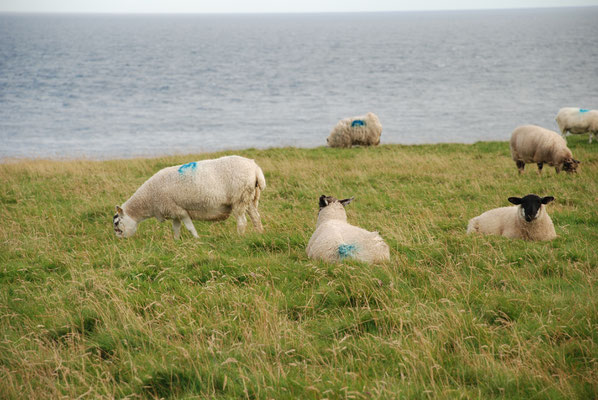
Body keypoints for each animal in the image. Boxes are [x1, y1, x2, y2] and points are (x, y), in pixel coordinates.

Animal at [113, 155, 268, 239]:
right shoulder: (174, 212)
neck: (148, 199)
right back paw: (260, 233)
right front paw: (176, 241)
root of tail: (255, 168)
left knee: (242, 221)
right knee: (256, 217)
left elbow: (190, 227)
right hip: (251, 198)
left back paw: (239, 236)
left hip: (239, 198)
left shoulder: (179, 210)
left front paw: (197, 239)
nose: (120, 239)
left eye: (116, 223)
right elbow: (176, 228)